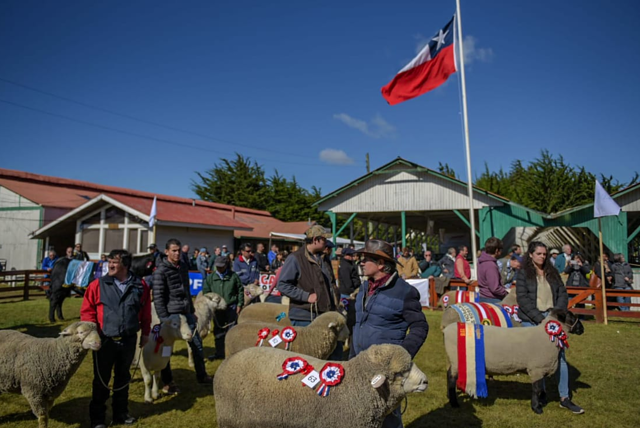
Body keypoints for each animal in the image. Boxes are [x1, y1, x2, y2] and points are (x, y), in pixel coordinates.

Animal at [444, 310, 584, 412]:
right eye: (571, 316)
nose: (582, 329)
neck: (547, 336)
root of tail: (446, 330)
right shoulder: (536, 368)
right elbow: (536, 388)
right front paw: (536, 408)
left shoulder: (541, 367)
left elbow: (541, 389)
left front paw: (541, 402)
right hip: (457, 360)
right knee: (451, 377)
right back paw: (454, 403)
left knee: (448, 373)